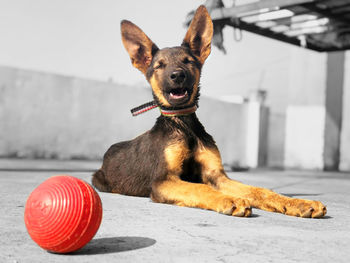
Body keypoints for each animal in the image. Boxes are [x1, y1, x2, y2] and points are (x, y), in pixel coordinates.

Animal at [91, 5, 326, 219]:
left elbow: (258, 190)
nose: (177, 76)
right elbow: (199, 187)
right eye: (159, 66)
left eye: (188, 61)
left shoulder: (217, 176)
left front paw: (297, 203)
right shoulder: (163, 180)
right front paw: (229, 200)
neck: (183, 124)